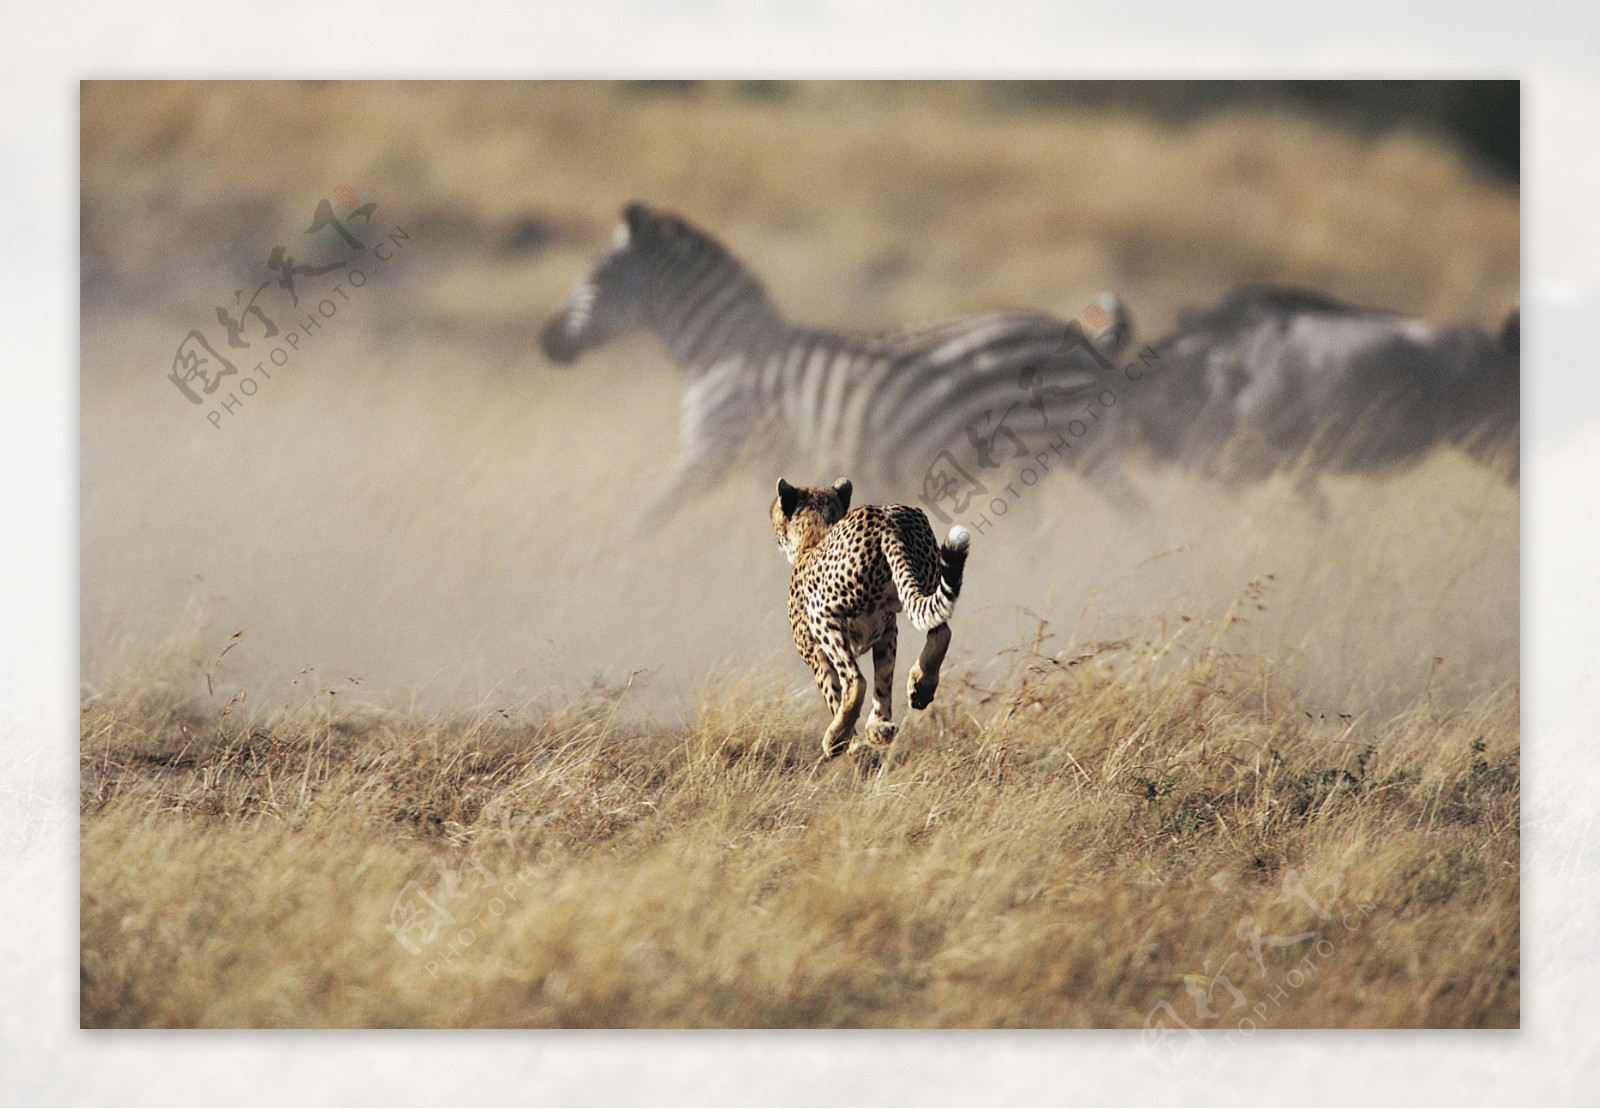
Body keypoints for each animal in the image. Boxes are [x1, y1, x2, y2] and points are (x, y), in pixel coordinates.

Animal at [540, 200, 1139, 531]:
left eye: (595, 278)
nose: (546, 342)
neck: (723, 353)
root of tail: (1086, 340)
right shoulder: (763, 463)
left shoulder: (712, 451)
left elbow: (643, 522)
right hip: (1086, 453)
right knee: (1136, 519)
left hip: (1034, 455)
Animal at [768, 476, 966, 761]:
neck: (815, 534)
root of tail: (884, 521)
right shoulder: (887, 631)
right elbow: (884, 679)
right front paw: (878, 728)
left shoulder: (816, 654)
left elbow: (834, 693)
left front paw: (849, 741)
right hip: (925, 582)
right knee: (941, 631)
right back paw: (922, 687)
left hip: (824, 615)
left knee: (855, 680)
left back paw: (833, 738)